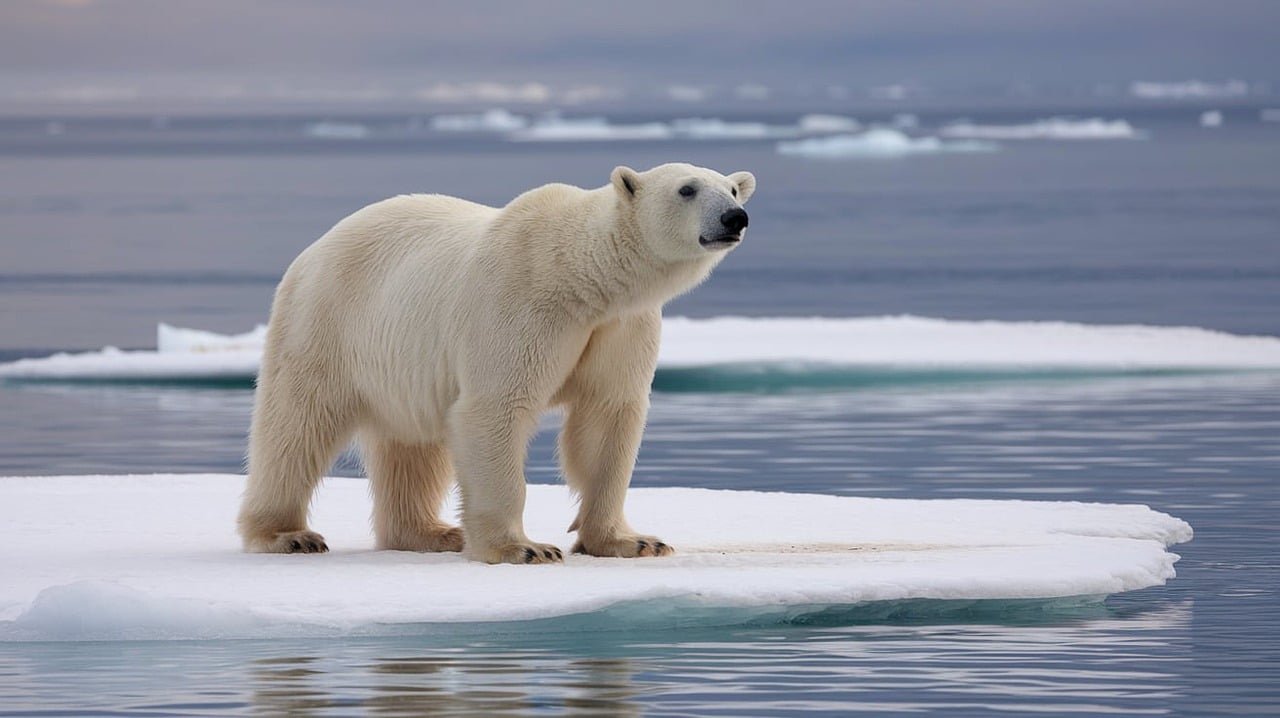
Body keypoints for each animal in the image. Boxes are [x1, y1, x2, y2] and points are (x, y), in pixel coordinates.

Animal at [237, 162, 755, 564]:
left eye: (731, 188)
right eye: (687, 188)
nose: (735, 216)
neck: (581, 277)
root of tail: (313, 250)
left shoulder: (620, 326)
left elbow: (606, 419)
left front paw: (632, 541)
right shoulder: (519, 304)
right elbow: (496, 408)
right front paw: (524, 549)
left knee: (412, 448)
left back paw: (433, 533)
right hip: (326, 323)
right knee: (296, 427)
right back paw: (286, 534)